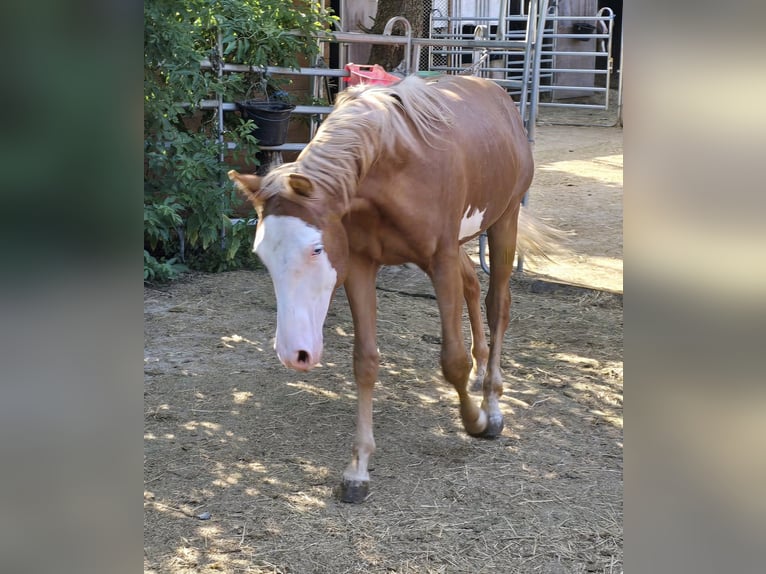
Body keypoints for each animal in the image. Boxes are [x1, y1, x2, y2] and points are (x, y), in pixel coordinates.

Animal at [229, 74, 552, 503]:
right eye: (261, 254)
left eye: (315, 249)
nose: (293, 354)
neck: (392, 166)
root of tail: (499, 96)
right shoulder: (360, 266)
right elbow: (365, 361)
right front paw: (358, 467)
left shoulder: (440, 260)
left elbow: (452, 361)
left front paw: (476, 419)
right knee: (471, 286)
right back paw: (482, 369)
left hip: (505, 221)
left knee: (497, 303)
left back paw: (493, 402)